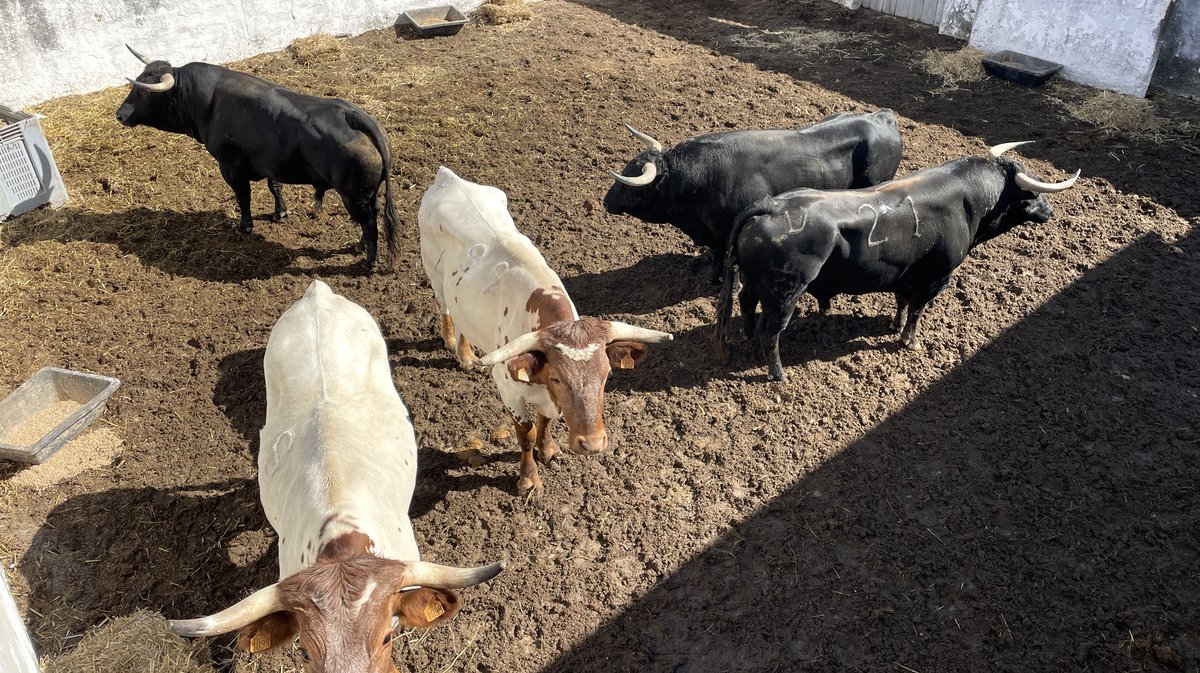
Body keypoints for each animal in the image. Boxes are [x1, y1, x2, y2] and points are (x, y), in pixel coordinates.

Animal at [115, 43, 398, 265]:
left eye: (145, 91)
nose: (120, 114)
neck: (208, 102)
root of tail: (352, 114)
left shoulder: (230, 166)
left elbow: (243, 197)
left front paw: (246, 226)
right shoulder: (272, 162)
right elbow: (275, 186)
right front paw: (280, 213)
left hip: (353, 195)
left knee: (369, 223)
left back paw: (369, 260)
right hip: (367, 194)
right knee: (370, 219)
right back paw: (359, 247)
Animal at [417, 166, 672, 494]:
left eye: (606, 375)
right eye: (558, 378)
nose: (592, 444)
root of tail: (448, 176)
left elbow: (545, 421)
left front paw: (548, 449)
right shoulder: (509, 391)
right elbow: (525, 434)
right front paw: (528, 478)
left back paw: (468, 354)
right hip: (434, 274)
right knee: (444, 306)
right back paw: (453, 344)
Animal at [710, 140, 1080, 383]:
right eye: (1032, 194)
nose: (1049, 211)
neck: (967, 200)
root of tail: (770, 206)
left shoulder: (906, 274)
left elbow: (902, 302)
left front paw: (893, 325)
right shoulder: (937, 277)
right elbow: (917, 310)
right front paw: (909, 340)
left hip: (757, 283)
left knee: (745, 302)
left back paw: (744, 335)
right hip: (785, 292)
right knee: (770, 331)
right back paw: (779, 375)